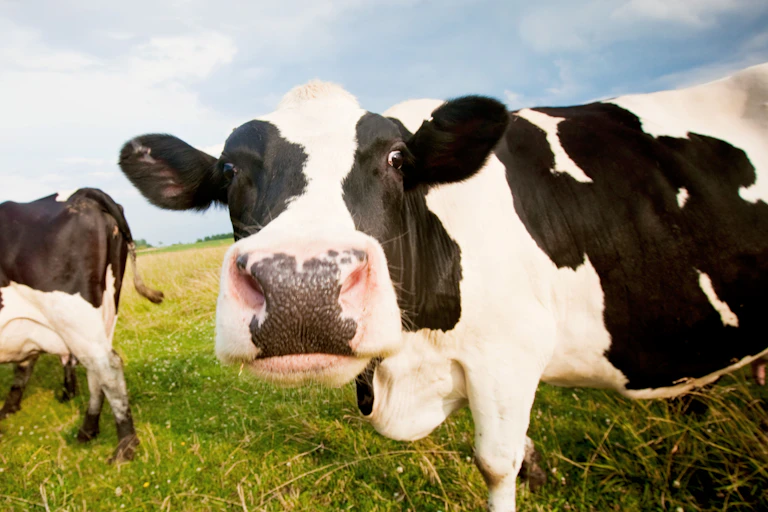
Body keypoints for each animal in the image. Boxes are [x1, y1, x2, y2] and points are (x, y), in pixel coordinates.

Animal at [0, 188, 163, 462]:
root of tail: (82, 195)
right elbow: (22, 370)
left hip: (73, 315)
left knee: (108, 367)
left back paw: (125, 447)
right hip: (102, 315)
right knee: (96, 371)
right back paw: (88, 430)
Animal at [117, 62, 768, 510]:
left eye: (397, 158)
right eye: (229, 170)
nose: (303, 286)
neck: (409, 363)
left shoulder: (510, 352)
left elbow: (496, 464)